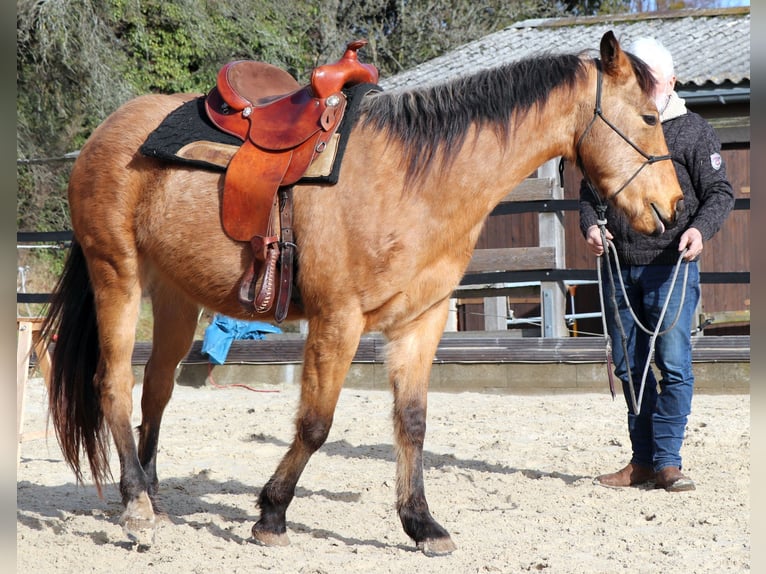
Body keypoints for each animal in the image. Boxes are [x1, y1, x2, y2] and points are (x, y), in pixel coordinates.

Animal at [42, 31, 683, 555]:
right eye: (650, 116)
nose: (673, 207)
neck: (417, 178)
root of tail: (104, 134)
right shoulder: (337, 320)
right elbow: (315, 423)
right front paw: (271, 513)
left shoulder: (421, 321)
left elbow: (413, 422)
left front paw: (421, 523)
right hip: (117, 277)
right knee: (113, 385)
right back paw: (135, 507)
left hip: (177, 298)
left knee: (156, 391)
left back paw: (152, 497)